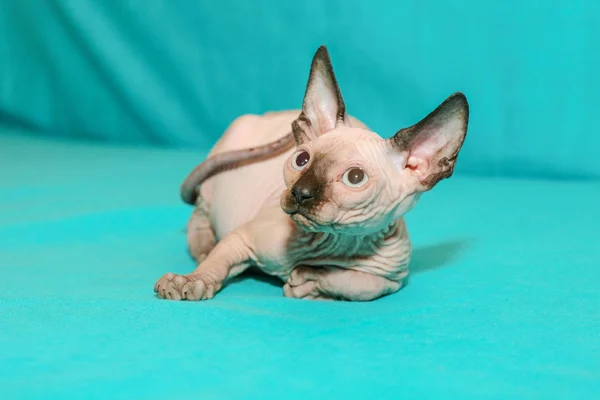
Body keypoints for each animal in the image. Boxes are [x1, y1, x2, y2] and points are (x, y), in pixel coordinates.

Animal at [154, 45, 468, 302]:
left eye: (355, 178)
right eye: (301, 159)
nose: (300, 193)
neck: (338, 242)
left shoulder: (392, 280)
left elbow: (360, 284)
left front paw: (310, 280)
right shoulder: (241, 238)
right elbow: (217, 262)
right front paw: (191, 281)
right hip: (213, 185)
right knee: (199, 219)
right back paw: (204, 246)